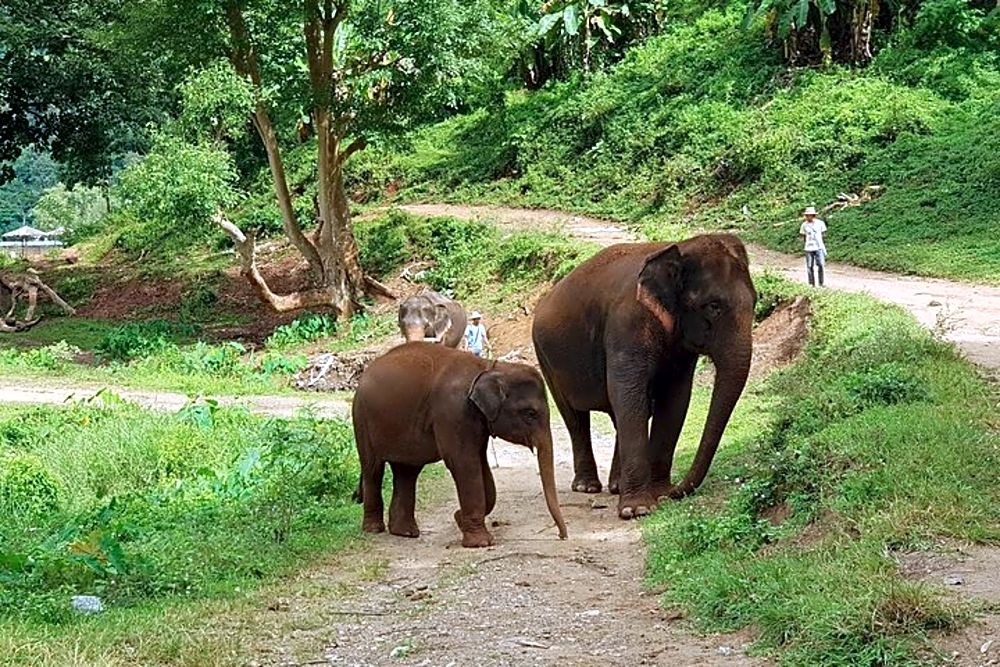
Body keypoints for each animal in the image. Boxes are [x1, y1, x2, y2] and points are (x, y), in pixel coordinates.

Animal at [352, 342, 568, 547]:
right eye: (530, 413)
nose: (561, 536)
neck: (489, 367)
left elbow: (482, 465)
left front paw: (459, 518)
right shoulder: (454, 412)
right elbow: (464, 464)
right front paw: (480, 543)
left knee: (407, 472)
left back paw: (405, 532)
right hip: (361, 419)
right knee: (373, 469)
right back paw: (374, 529)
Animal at [531, 233, 755, 520]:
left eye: (755, 302)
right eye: (713, 306)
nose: (675, 492)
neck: (679, 248)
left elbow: (674, 398)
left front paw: (659, 496)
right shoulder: (627, 324)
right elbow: (628, 393)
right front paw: (636, 510)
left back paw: (616, 486)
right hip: (545, 356)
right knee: (574, 417)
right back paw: (587, 487)